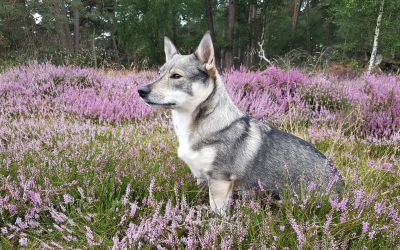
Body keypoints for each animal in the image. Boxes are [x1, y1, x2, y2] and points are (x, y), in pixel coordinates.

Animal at [138, 30, 340, 211]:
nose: (141, 90)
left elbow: (216, 215)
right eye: (159, 73)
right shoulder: (203, 179)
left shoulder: (220, 181)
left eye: (176, 76)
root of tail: (341, 183)